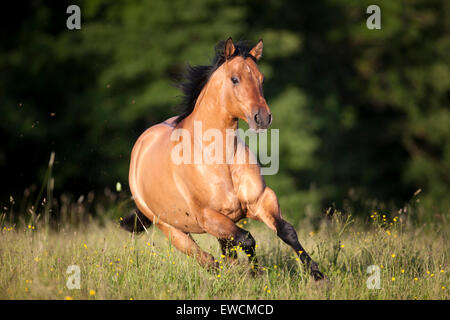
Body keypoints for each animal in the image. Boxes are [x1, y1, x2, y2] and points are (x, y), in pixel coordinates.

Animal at [119, 38, 326, 280]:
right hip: (172, 230)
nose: (263, 118)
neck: (220, 159)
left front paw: (318, 275)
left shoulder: (261, 200)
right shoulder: (208, 216)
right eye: (234, 79)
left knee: (224, 254)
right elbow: (247, 239)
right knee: (207, 259)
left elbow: (287, 231)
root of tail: (141, 146)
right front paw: (257, 274)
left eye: (261, 78)